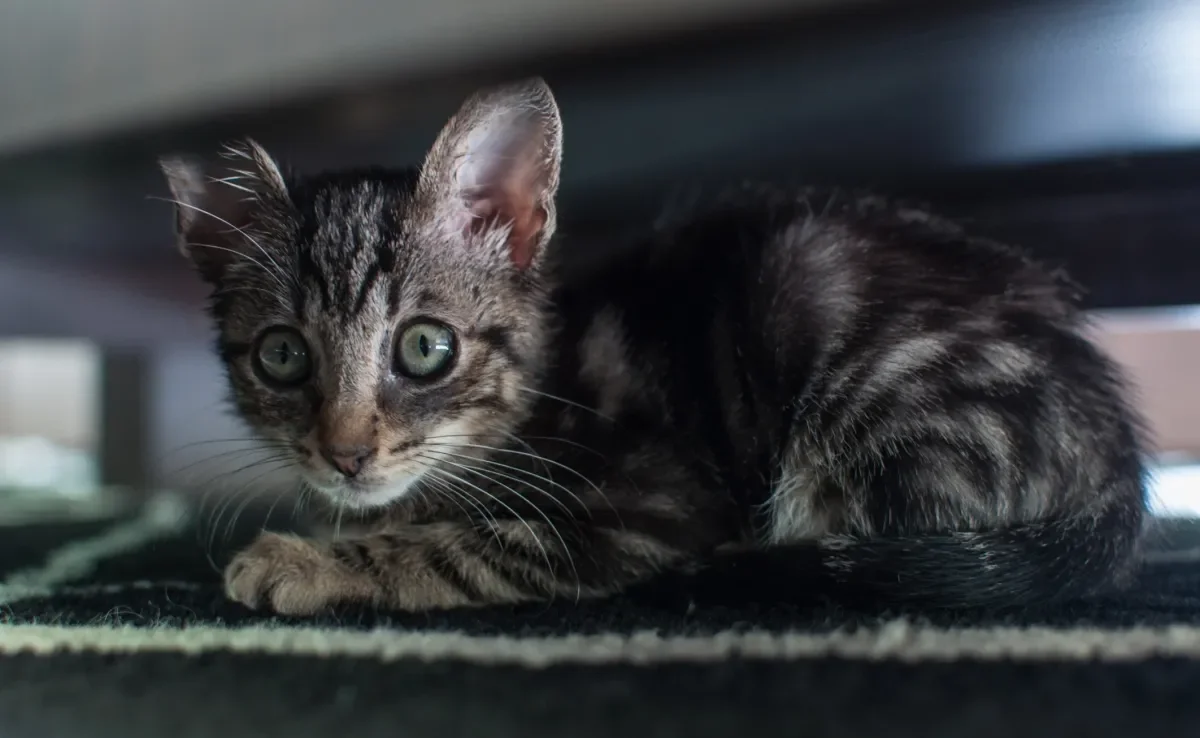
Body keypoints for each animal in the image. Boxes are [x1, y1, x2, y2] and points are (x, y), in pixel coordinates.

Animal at [157, 78, 1142, 619]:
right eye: (283, 357)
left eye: (425, 348)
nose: (346, 453)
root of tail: (1116, 449)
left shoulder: (649, 508)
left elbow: (458, 547)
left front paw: (302, 561)